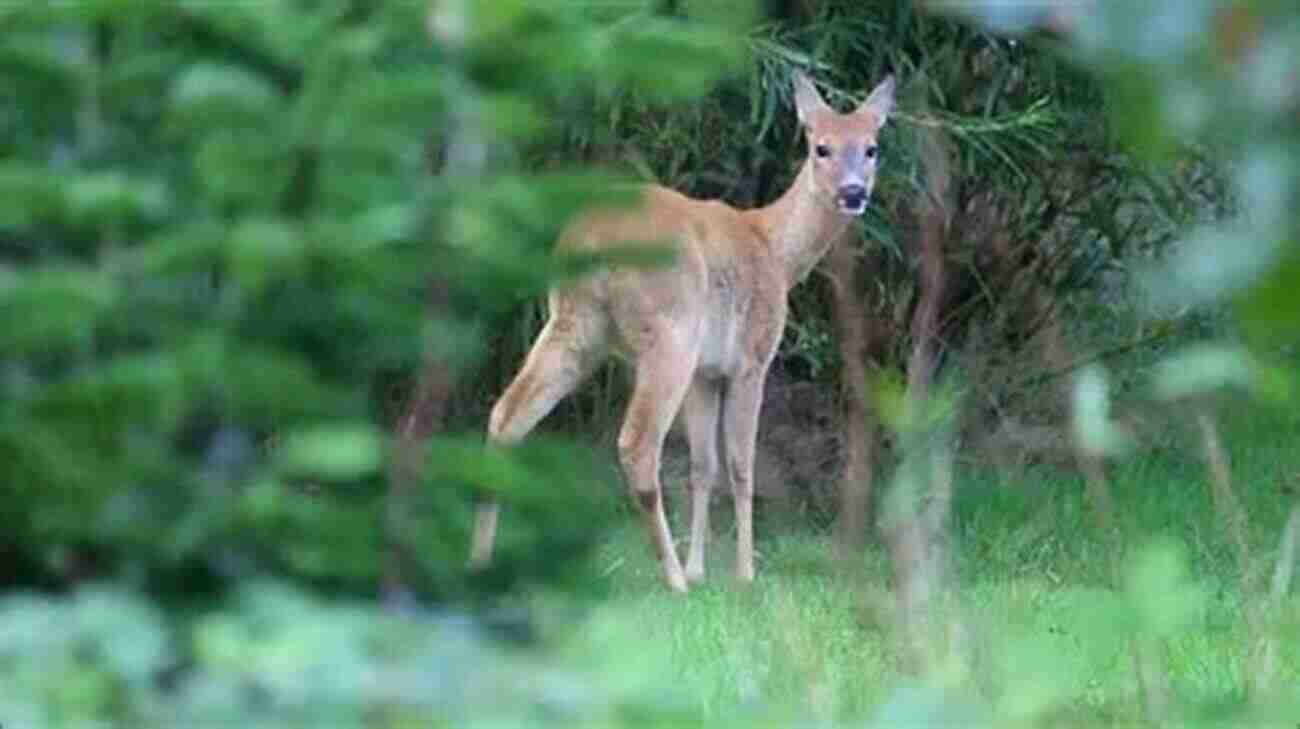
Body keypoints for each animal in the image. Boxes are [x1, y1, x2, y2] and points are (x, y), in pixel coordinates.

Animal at [470, 69, 894, 592]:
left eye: (872, 147)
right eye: (821, 147)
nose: (854, 193)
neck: (774, 249)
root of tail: (590, 241)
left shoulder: (706, 372)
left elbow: (702, 465)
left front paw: (702, 567)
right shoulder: (752, 357)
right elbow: (741, 464)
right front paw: (743, 573)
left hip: (573, 324)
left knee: (505, 416)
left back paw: (479, 559)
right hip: (669, 332)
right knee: (636, 442)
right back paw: (672, 578)